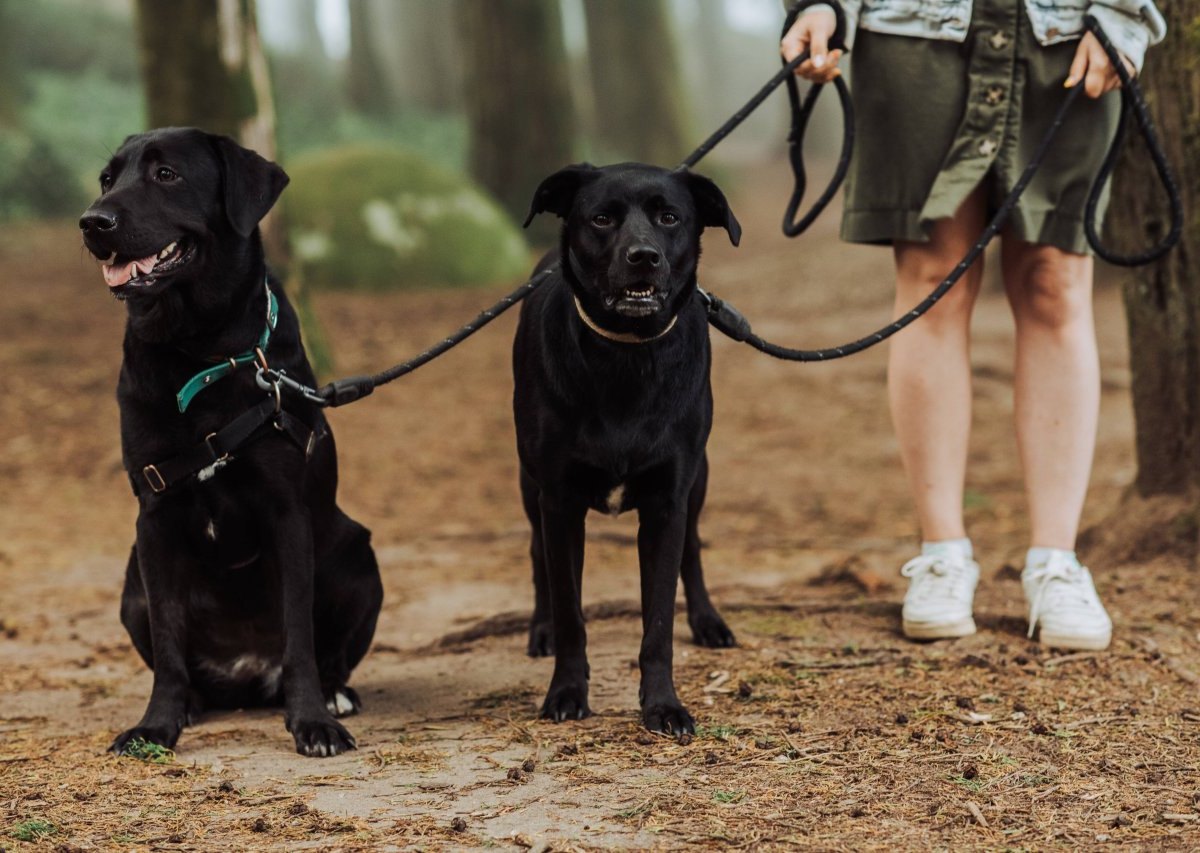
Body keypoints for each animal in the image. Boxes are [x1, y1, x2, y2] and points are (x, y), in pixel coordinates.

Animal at [78, 126, 379, 753]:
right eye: (107, 179)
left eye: (166, 174)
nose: (92, 221)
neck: (199, 352)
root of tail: (245, 679)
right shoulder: (154, 516)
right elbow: (168, 642)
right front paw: (156, 725)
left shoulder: (287, 512)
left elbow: (298, 634)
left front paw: (312, 721)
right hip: (130, 584)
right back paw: (194, 701)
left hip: (359, 556)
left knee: (326, 653)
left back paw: (336, 693)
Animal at [516, 163, 739, 739]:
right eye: (601, 219)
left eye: (670, 217)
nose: (644, 256)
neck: (626, 356)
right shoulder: (560, 501)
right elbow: (571, 612)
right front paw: (566, 692)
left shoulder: (668, 500)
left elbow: (657, 620)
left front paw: (663, 705)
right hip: (530, 486)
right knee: (537, 554)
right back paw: (539, 628)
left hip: (699, 480)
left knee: (693, 549)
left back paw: (708, 621)